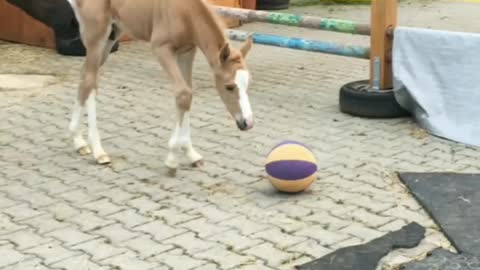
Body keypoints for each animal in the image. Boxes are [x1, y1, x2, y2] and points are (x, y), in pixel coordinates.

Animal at [66, 0, 256, 175]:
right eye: (229, 86)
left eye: (247, 84)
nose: (247, 123)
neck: (185, 11)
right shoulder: (161, 48)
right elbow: (183, 94)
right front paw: (172, 159)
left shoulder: (187, 51)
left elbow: (188, 93)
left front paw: (191, 153)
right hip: (96, 33)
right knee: (90, 79)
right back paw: (98, 150)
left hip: (112, 35)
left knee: (86, 77)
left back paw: (79, 141)